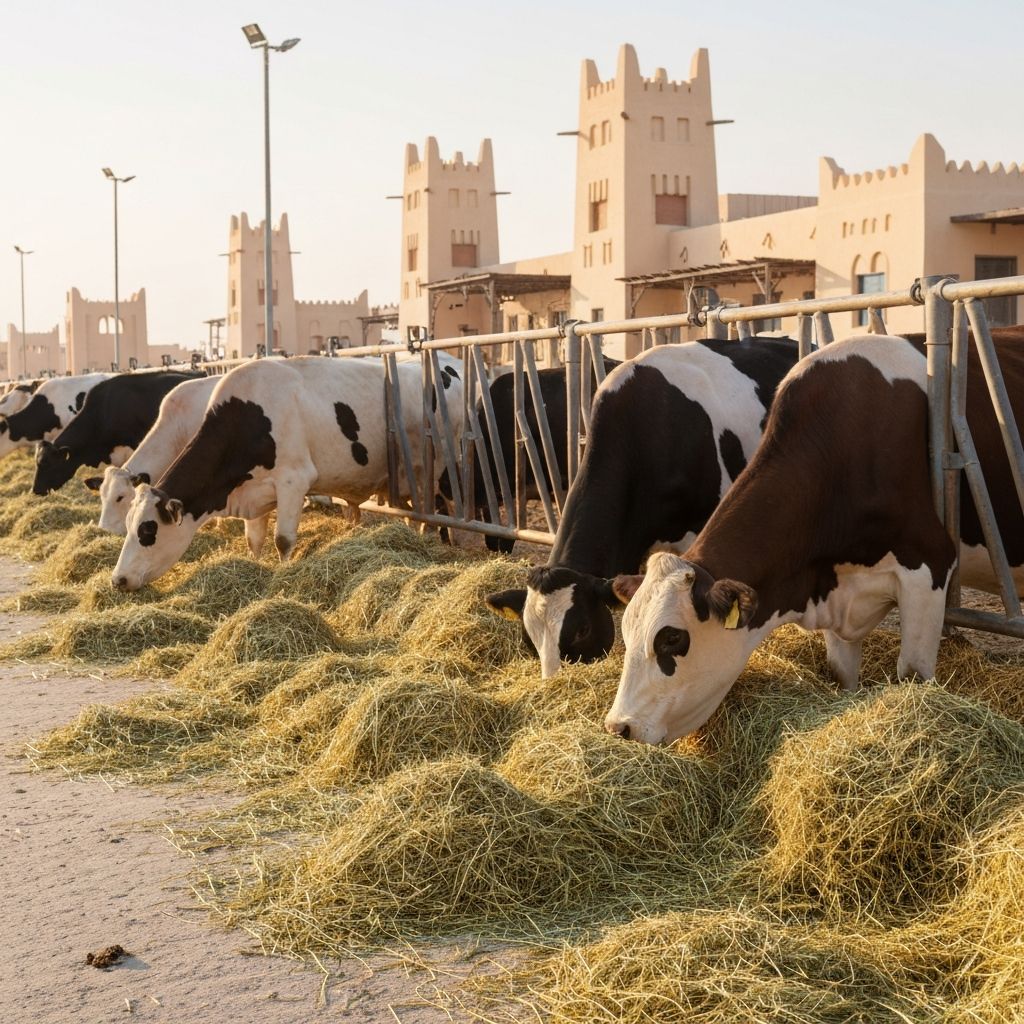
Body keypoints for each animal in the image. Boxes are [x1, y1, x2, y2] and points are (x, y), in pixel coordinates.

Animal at [111, 355, 461, 590]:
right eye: (128, 523)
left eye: (147, 530)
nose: (118, 580)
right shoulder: (252, 491)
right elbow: (254, 540)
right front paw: (255, 566)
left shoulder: (294, 481)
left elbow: (283, 539)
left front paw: (283, 575)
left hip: (440, 471)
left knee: (442, 512)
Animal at [604, 331, 1024, 746]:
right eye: (625, 633)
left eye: (671, 639)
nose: (619, 726)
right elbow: (842, 678)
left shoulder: (929, 565)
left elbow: (913, 676)